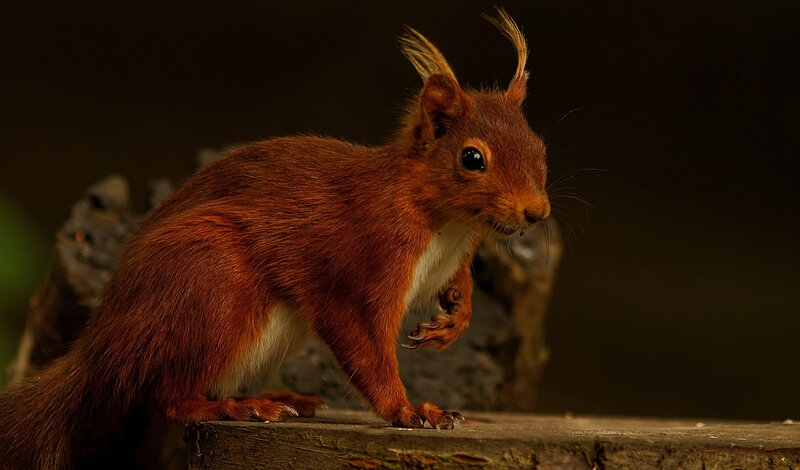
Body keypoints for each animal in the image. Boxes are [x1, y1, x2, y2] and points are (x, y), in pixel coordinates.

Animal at [0, 8, 549, 469]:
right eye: (472, 158)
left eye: (540, 147)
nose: (537, 212)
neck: (447, 225)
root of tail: (101, 346)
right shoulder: (361, 260)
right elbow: (363, 344)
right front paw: (410, 410)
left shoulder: (454, 254)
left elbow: (460, 286)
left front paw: (455, 319)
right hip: (210, 282)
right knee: (170, 395)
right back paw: (239, 408)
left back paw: (278, 399)